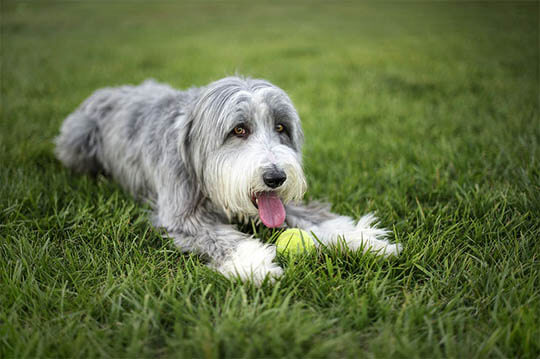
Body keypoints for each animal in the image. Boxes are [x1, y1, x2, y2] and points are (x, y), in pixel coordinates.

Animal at [54, 77, 400, 286]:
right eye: (239, 130)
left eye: (281, 127)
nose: (276, 177)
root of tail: (106, 90)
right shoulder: (182, 216)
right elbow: (222, 237)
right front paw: (256, 264)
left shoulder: (282, 204)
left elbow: (318, 219)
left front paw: (362, 239)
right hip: (78, 137)